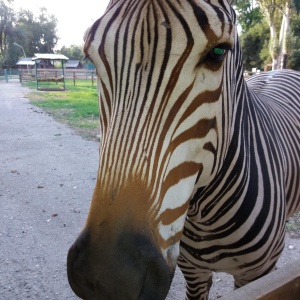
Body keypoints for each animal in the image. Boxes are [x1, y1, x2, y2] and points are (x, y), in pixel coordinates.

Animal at [67, 0, 300, 298]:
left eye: (218, 52)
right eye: (90, 55)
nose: (107, 279)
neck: (206, 216)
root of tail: (281, 70)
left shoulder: (255, 276)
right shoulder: (193, 271)